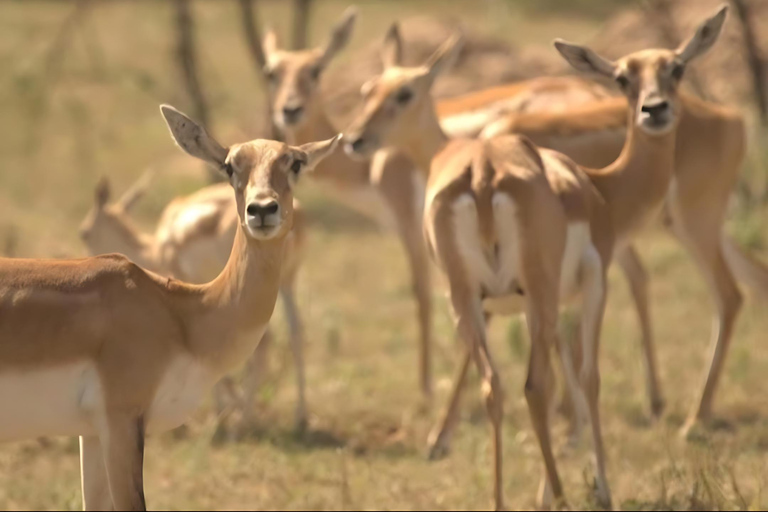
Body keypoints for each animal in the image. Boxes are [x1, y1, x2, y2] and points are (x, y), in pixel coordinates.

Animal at [76, 173, 308, 432]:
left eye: (84, 233)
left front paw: (224, 411)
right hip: (287, 282)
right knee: (296, 333)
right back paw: (299, 418)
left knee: (266, 341)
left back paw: (245, 419)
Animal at [342, 8, 728, 508]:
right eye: (623, 77)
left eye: (676, 68)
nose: (655, 110)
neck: (602, 190)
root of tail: (482, 173)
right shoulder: (590, 287)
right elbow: (587, 377)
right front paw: (598, 485)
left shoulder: (524, 303)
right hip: (543, 291)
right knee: (535, 386)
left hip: (470, 297)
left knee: (497, 385)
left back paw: (501, 496)